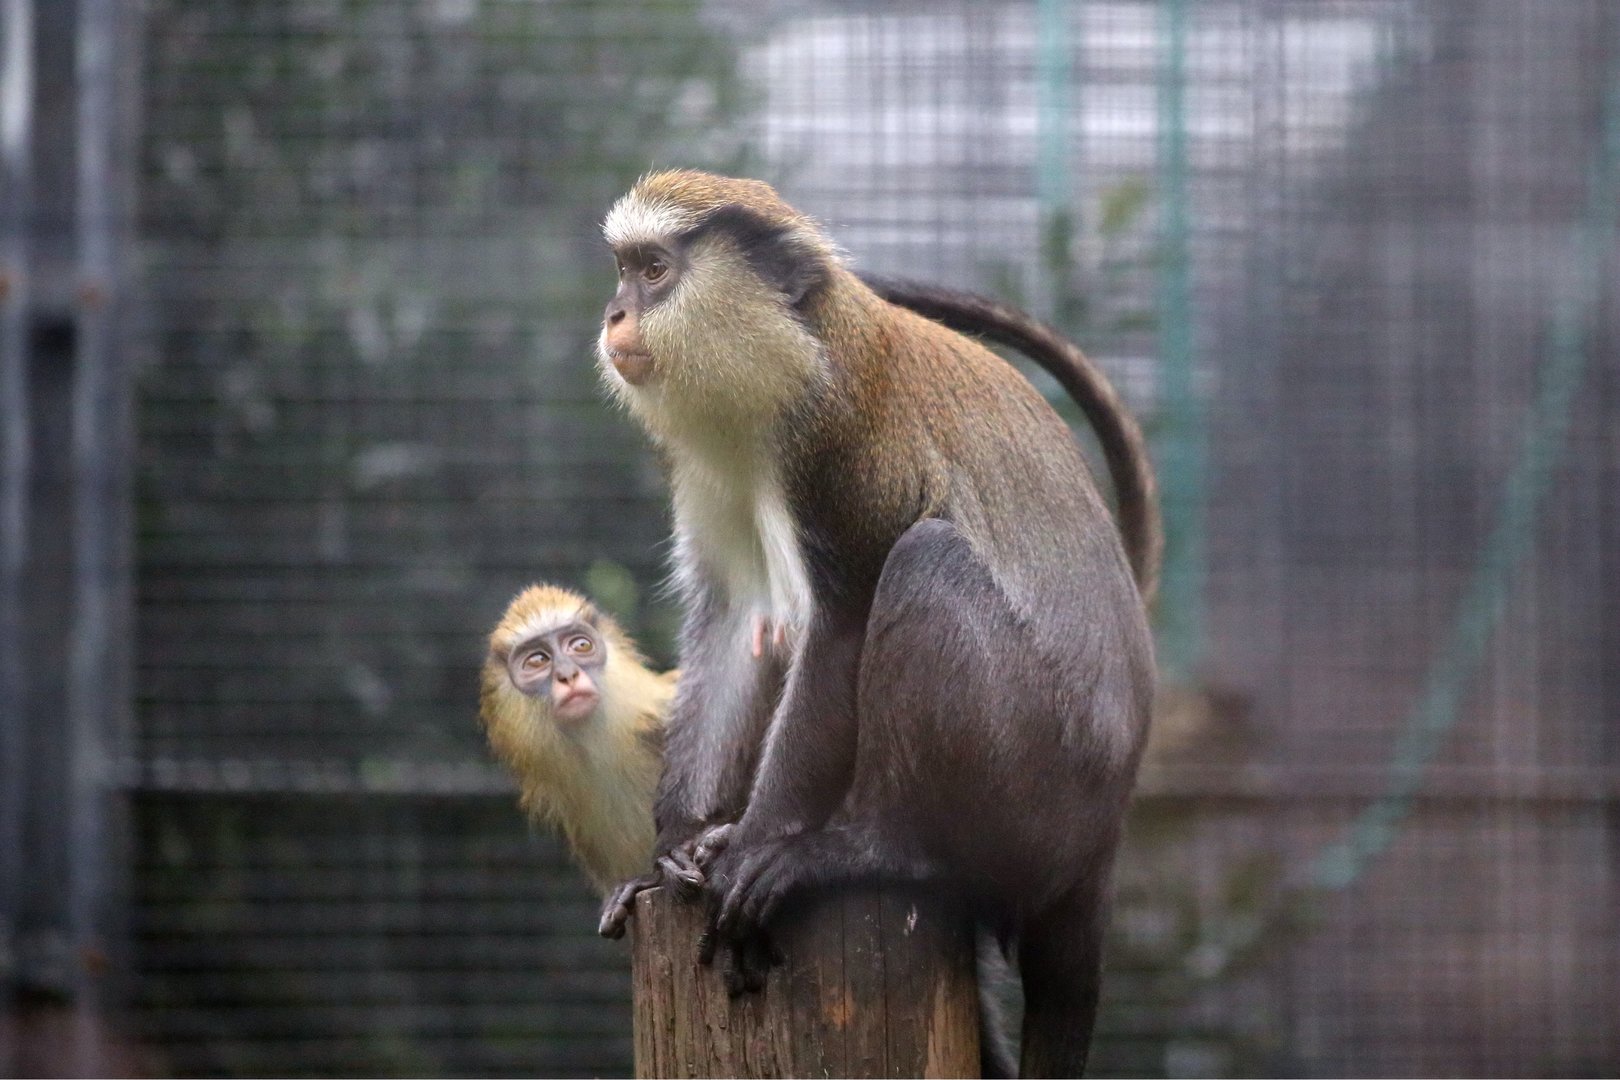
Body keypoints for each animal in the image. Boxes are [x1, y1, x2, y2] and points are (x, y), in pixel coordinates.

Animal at [591, 171, 1159, 1077]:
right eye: (624, 269)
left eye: (654, 271)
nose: (614, 315)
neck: (791, 354)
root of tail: (1098, 854)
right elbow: (738, 618)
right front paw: (670, 851)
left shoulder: (839, 446)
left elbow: (844, 623)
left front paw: (751, 849)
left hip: (1041, 787)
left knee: (926, 562)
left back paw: (871, 850)